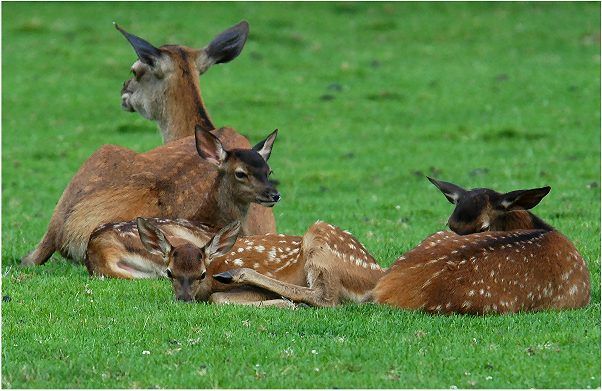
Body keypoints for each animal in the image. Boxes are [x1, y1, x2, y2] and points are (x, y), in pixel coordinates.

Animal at [85, 217, 384, 310]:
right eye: (169, 272)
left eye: (201, 273)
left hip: (320, 239)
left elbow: (219, 298)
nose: (184, 299)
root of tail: (376, 275)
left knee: (326, 297)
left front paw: (285, 303)